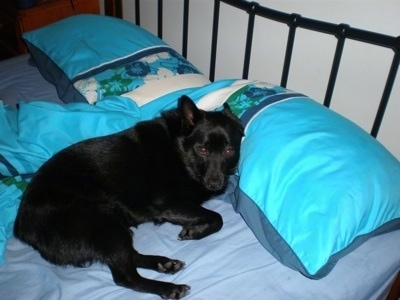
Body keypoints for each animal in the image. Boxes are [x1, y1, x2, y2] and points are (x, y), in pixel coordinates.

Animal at [13, 96, 244, 300]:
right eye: (202, 149)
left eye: (229, 151)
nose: (215, 184)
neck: (179, 152)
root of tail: (22, 225)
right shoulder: (168, 204)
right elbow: (217, 218)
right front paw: (194, 232)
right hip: (103, 224)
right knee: (126, 276)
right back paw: (169, 288)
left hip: (113, 227)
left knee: (131, 256)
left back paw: (163, 263)